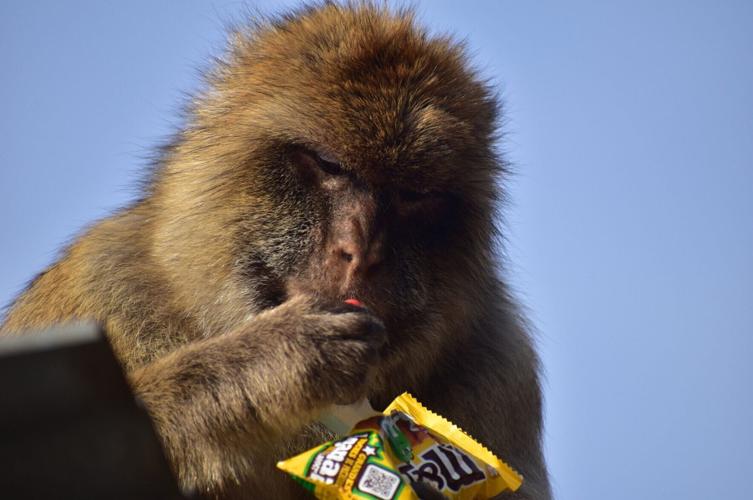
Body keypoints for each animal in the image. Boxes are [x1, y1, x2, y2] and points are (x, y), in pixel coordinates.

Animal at [1, 3, 552, 499]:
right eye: (329, 164)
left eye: (413, 194)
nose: (359, 252)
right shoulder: (102, 284)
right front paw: (269, 359)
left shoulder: (502, 366)